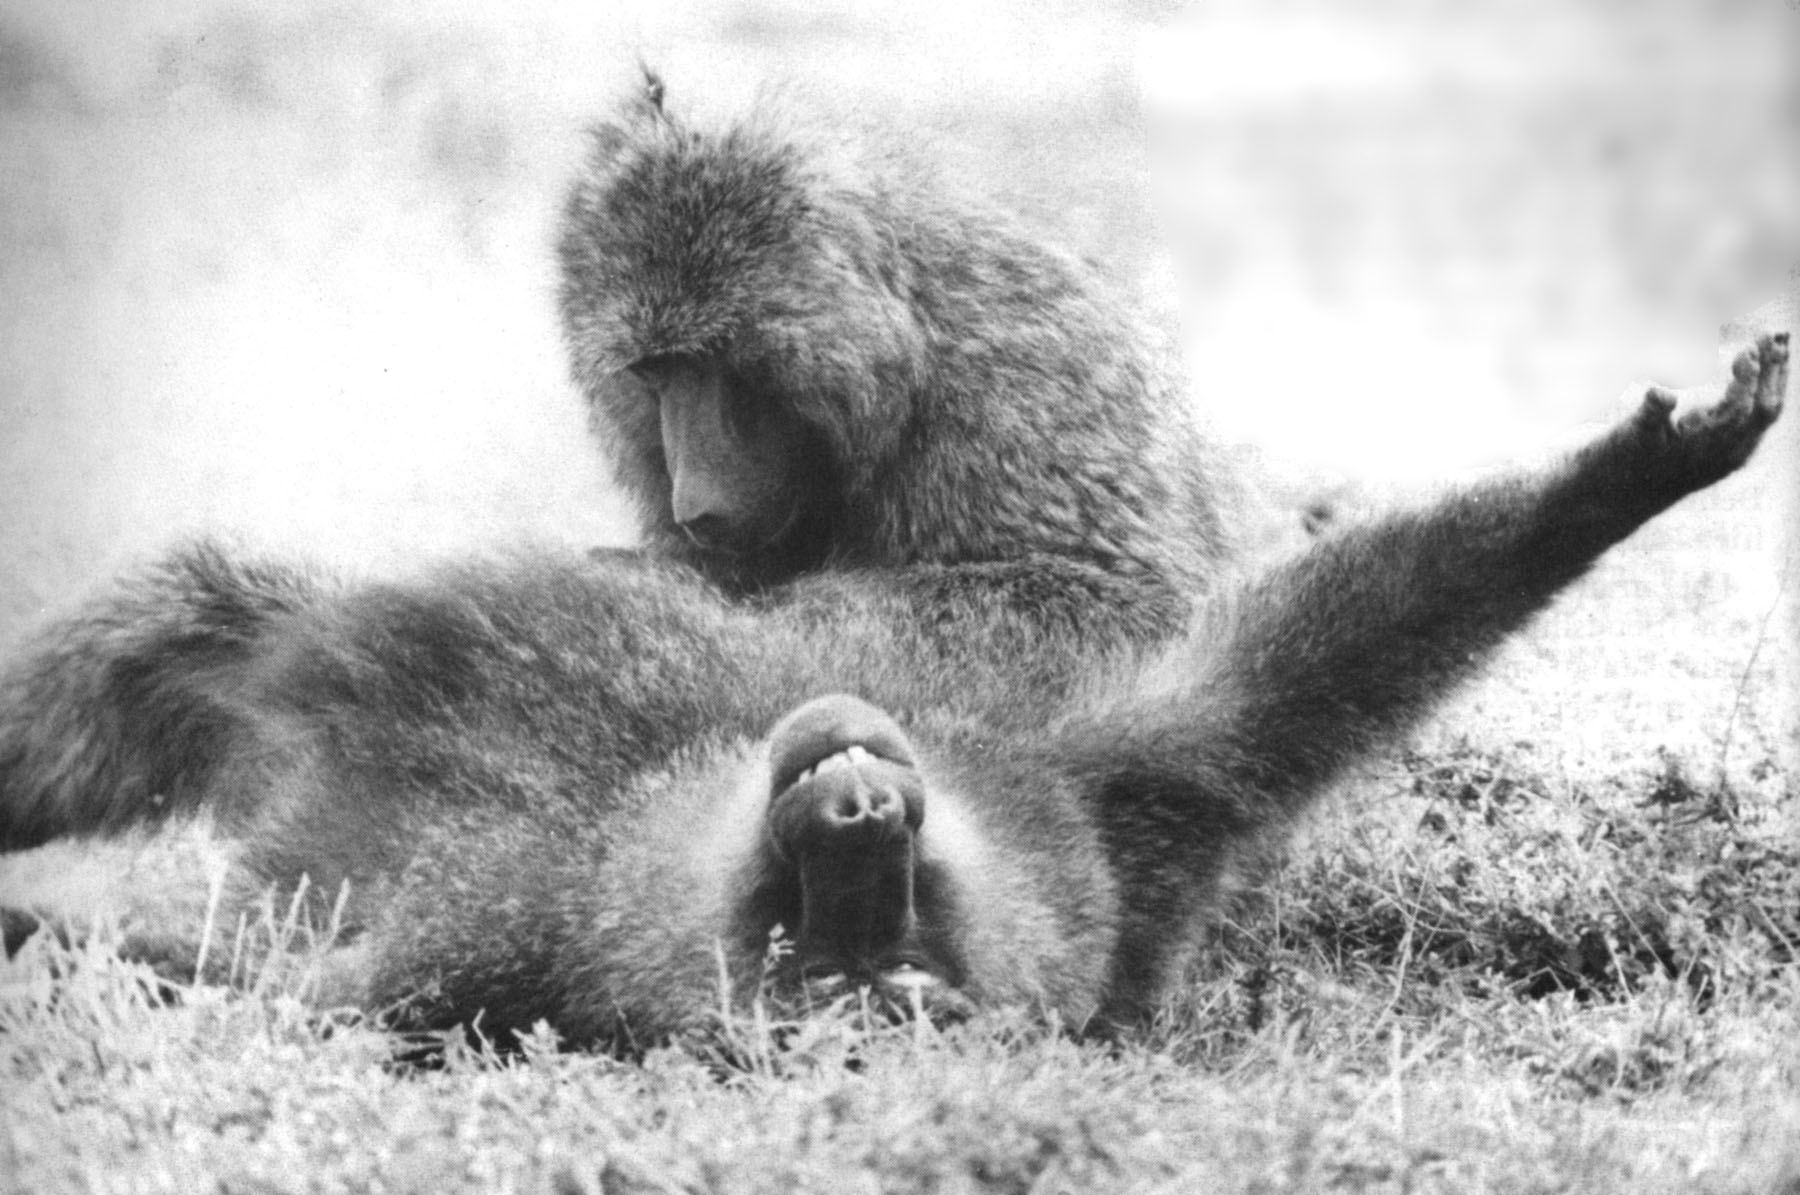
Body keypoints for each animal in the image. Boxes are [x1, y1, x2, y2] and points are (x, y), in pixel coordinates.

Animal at [0, 334, 1786, 1049]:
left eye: (873, 947)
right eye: (826, 908)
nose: (859, 806)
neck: (658, 794)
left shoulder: (473, 949)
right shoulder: (1074, 772)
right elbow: (1254, 696)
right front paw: (1635, 475)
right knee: (151, 648)